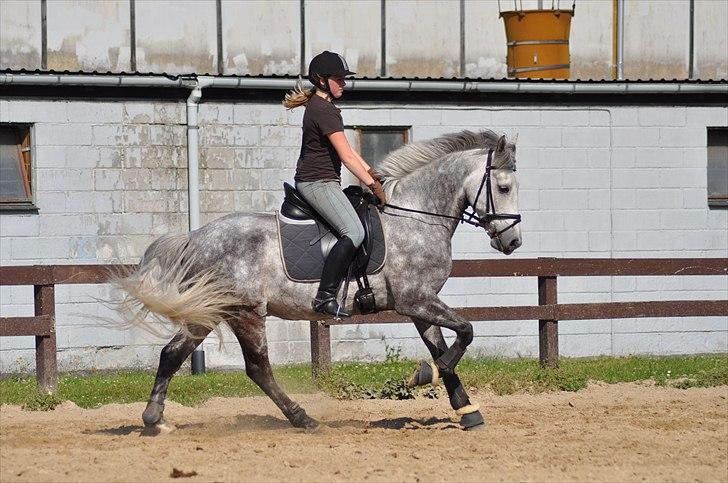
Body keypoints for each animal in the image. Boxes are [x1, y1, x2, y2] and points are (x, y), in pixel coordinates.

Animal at [113, 129, 522, 432]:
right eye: (503, 188)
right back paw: (302, 418)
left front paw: (467, 411)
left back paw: (154, 419)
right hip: (244, 312)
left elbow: (444, 348)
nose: (513, 242)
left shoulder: (419, 305)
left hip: (212, 312)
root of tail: (195, 238)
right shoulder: (416, 299)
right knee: (257, 368)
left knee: (173, 354)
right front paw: (423, 376)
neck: (416, 217)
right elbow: (466, 332)